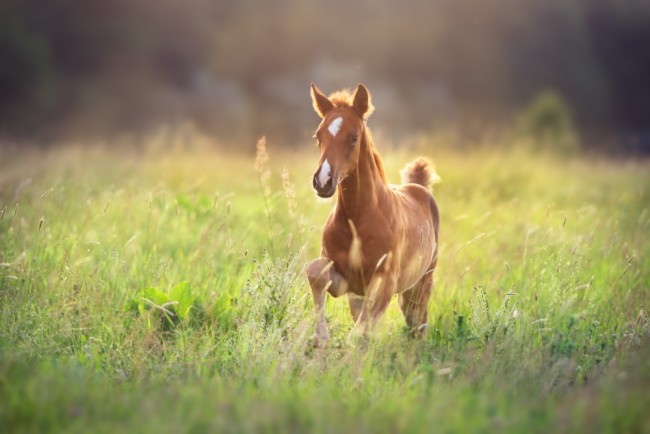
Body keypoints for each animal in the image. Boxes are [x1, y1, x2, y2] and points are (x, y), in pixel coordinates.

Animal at [306, 83, 438, 344]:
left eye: (354, 137)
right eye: (318, 135)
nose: (323, 181)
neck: (357, 219)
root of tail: (418, 187)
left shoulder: (386, 279)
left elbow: (360, 331)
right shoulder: (346, 283)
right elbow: (315, 271)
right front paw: (320, 337)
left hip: (421, 283)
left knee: (417, 321)